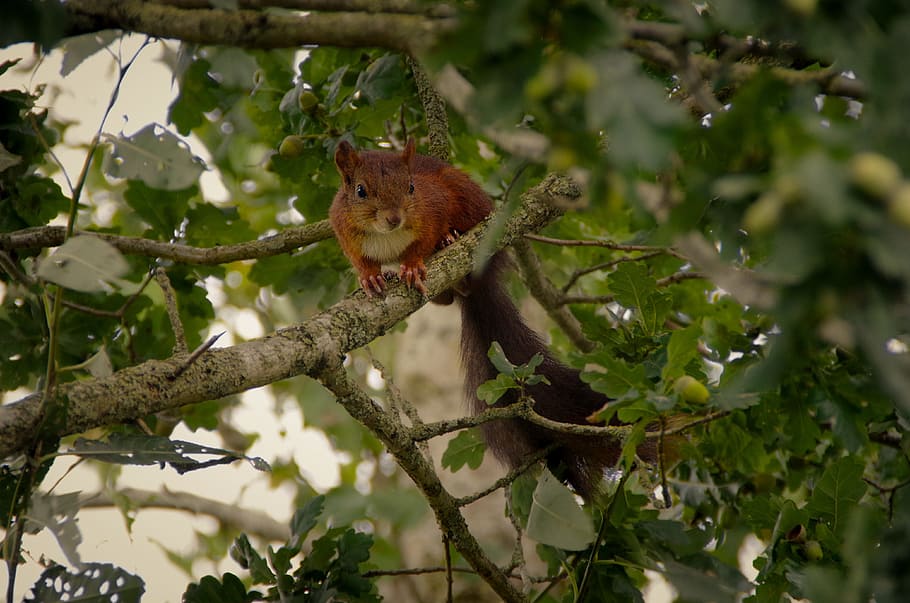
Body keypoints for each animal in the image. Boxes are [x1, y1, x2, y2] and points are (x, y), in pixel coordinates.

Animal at [330, 138, 639, 499]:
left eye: (411, 187)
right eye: (361, 191)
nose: (394, 218)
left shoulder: (433, 205)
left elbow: (422, 240)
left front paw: (413, 264)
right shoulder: (343, 227)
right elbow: (360, 259)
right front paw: (369, 277)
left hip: (468, 202)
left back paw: (450, 240)